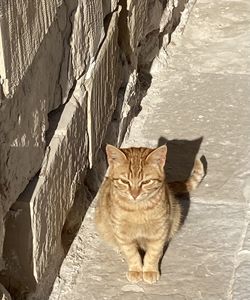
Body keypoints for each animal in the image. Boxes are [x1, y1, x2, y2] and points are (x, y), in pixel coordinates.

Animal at [94, 145, 204, 284]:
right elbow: (131, 253)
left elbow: (153, 253)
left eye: (146, 182)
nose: (134, 194)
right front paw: (135, 270)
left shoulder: (160, 231)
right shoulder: (122, 233)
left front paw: (150, 270)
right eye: (124, 181)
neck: (138, 209)